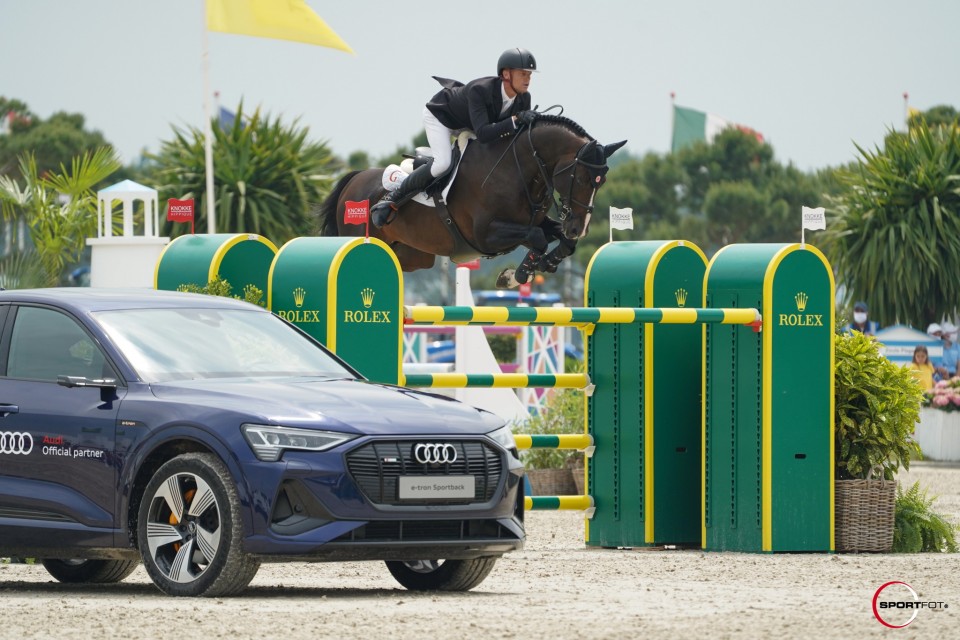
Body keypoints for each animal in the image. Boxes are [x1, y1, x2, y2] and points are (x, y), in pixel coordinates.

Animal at [318, 114, 628, 288]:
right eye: (583, 178)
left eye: (603, 181)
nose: (579, 228)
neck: (516, 169)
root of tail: (354, 179)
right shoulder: (485, 235)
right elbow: (537, 237)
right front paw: (517, 275)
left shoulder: (534, 222)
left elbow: (561, 242)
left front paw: (545, 263)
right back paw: (383, 209)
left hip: (413, 255)